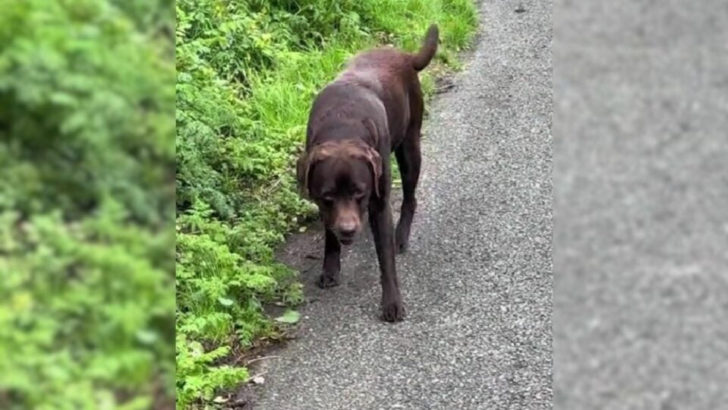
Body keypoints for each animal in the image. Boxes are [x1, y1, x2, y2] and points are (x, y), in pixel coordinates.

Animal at [296, 24, 438, 324]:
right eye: (327, 197)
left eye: (359, 193)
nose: (348, 229)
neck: (342, 127)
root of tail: (405, 56)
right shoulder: (326, 208)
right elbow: (329, 237)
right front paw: (330, 269)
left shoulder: (379, 203)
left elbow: (385, 259)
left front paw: (392, 303)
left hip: (410, 148)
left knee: (410, 197)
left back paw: (401, 235)